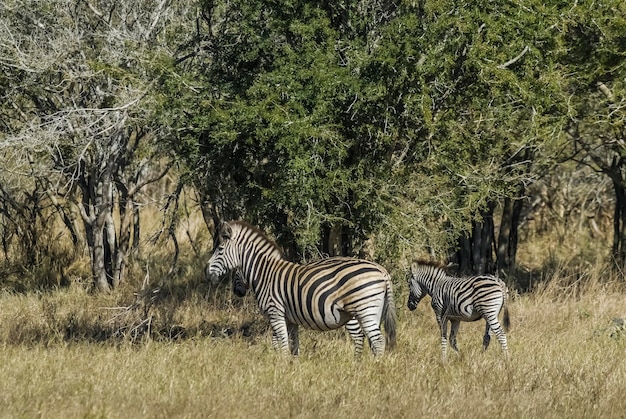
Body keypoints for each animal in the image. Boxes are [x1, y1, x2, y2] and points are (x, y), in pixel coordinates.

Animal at [205, 221, 394, 356]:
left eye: (220, 250)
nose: (208, 272)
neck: (265, 273)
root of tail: (382, 270)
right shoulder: (290, 319)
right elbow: (291, 344)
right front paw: (291, 367)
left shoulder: (275, 313)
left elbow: (281, 343)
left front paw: (280, 367)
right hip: (374, 310)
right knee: (371, 341)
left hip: (363, 309)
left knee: (376, 341)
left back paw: (371, 368)